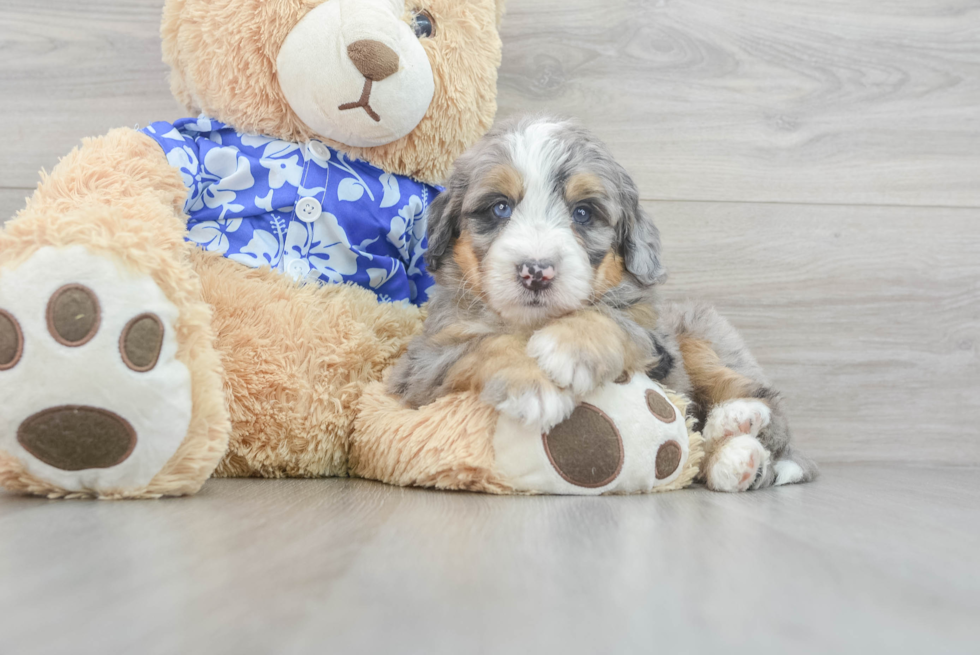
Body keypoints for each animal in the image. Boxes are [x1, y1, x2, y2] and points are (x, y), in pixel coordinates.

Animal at [386, 116, 816, 492]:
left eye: (583, 212)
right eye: (499, 207)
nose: (536, 271)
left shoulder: (656, 341)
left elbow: (609, 317)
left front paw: (567, 348)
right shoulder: (421, 364)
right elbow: (484, 345)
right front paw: (534, 386)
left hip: (699, 331)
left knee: (755, 398)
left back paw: (739, 422)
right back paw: (736, 455)